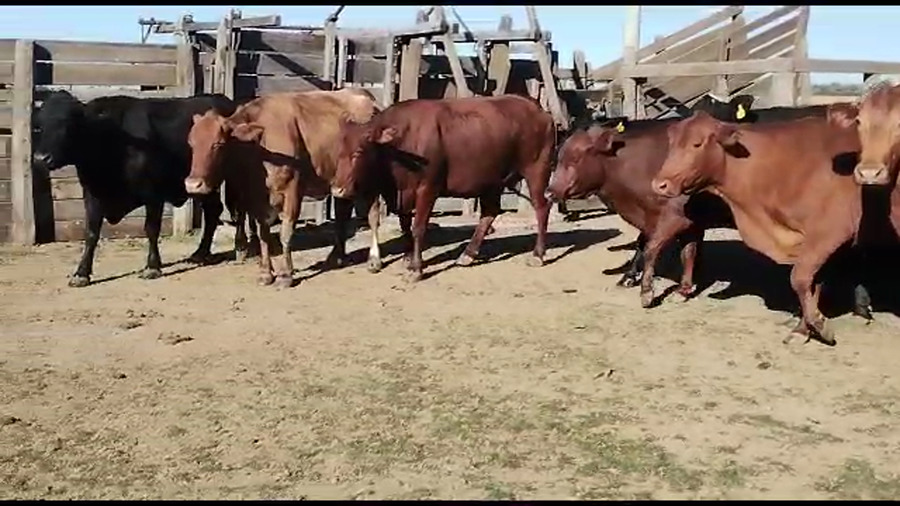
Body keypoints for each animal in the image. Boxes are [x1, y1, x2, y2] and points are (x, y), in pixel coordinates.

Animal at [32, 90, 237, 287]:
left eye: (67, 124)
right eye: (40, 125)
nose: (41, 158)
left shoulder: (153, 195)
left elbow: (151, 229)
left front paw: (152, 267)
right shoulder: (92, 195)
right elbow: (91, 233)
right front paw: (81, 273)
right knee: (213, 210)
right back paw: (200, 253)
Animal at [183, 88, 383, 288]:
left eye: (218, 144)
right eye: (191, 143)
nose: (193, 184)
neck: (259, 148)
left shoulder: (292, 190)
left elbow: (285, 232)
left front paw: (286, 275)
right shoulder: (255, 197)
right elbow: (263, 234)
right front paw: (265, 273)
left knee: (373, 215)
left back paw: (374, 260)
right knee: (342, 213)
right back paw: (336, 256)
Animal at [331, 94, 556, 282]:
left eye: (359, 152)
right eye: (339, 151)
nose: (336, 190)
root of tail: (538, 109)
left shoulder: (427, 188)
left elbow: (418, 227)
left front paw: (416, 269)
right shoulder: (401, 193)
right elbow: (405, 224)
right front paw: (407, 257)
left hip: (537, 169)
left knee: (541, 207)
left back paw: (537, 255)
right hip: (493, 180)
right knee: (489, 212)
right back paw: (467, 255)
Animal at [649, 105, 864, 345]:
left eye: (697, 143)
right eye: (672, 144)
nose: (659, 184)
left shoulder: (829, 233)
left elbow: (799, 278)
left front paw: (819, 325)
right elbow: (812, 283)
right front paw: (803, 329)